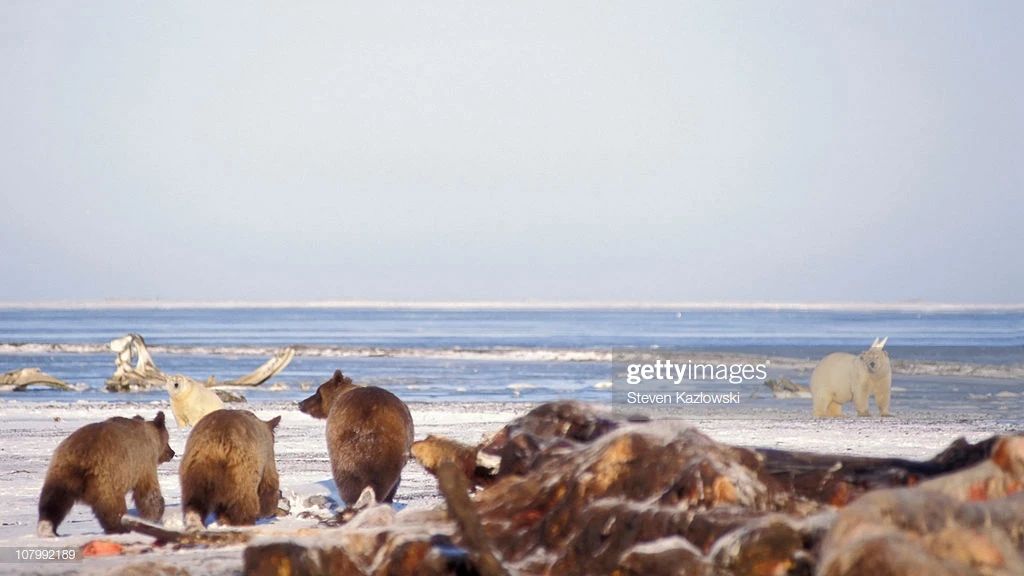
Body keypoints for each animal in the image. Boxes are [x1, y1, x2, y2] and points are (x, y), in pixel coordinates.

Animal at [37, 407, 174, 532]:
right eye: (168, 440)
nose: (172, 453)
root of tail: (81, 458)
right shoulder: (144, 464)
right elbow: (149, 494)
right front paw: (153, 517)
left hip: (61, 470)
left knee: (53, 500)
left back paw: (47, 527)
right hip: (106, 476)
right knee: (112, 506)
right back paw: (120, 527)